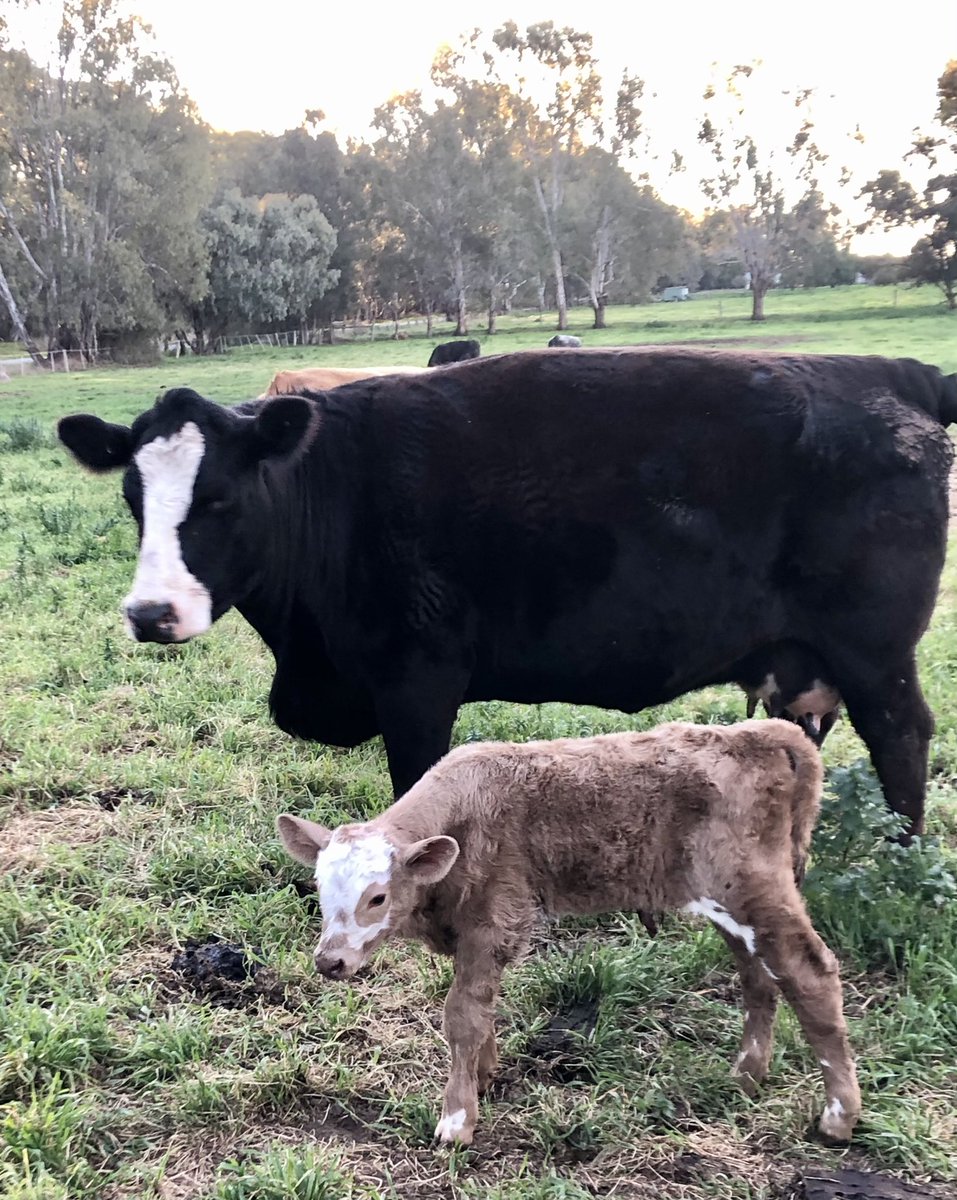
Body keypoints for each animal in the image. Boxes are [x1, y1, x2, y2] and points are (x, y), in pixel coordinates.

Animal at [56, 347, 957, 835]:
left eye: (219, 499)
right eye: (133, 496)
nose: (150, 613)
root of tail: (892, 373)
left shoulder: (416, 682)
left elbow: (415, 789)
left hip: (874, 648)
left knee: (901, 733)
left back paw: (898, 855)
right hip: (800, 657)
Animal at [277, 718, 862, 1148]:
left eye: (377, 897)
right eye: (319, 887)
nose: (330, 962)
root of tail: (763, 733)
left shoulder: (494, 920)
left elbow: (463, 1015)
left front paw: (457, 1120)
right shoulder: (473, 932)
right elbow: (482, 1007)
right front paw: (485, 1075)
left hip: (756, 890)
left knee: (810, 974)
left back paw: (838, 1117)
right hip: (729, 905)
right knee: (758, 978)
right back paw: (746, 1076)